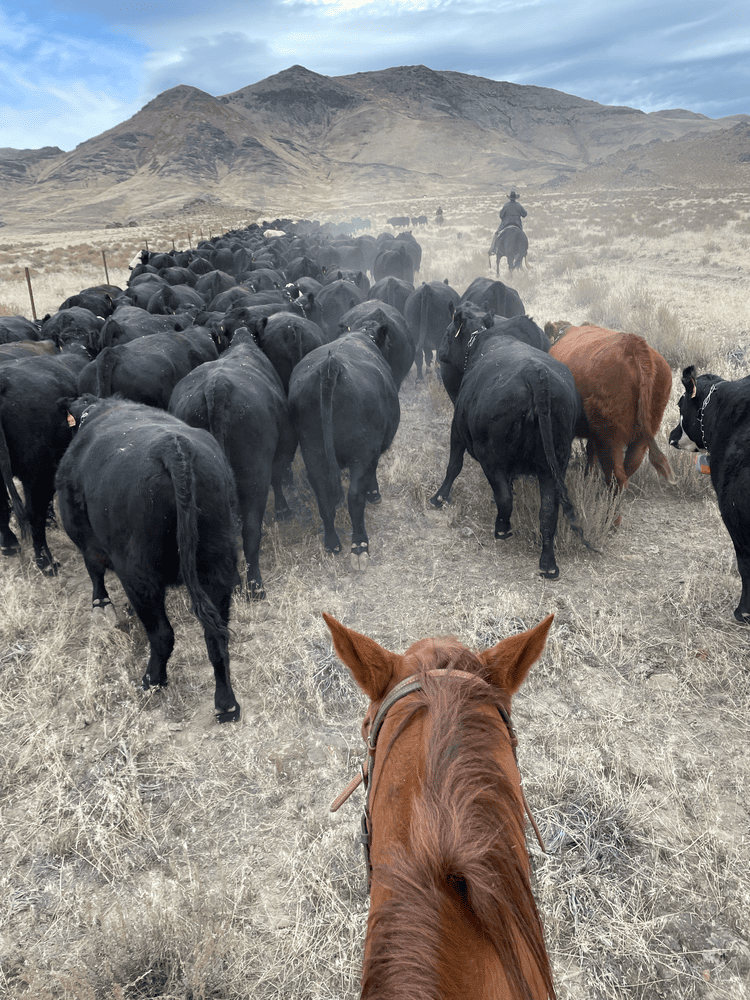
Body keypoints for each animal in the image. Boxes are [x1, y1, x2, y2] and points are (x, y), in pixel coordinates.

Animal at [56, 397, 241, 721]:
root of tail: (174, 448)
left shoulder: (85, 537)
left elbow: (94, 569)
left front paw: (101, 604)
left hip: (138, 574)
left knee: (162, 634)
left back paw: (152, 680)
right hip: (218, 566)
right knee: (216, 636)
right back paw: (226, 703)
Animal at [169, 329, 297, 599]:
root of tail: (216, 386)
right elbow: (278, 480)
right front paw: (283, 509)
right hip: (255, 475)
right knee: (250, 532)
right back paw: (256, 586)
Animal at [288, 327, 400, 570]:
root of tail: (331, 365)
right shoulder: (371, 452)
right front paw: (374, 494)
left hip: (313, 454)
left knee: (323, 498)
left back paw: (332, 543)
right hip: (361, 454)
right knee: (354, 497)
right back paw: (359, 546)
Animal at [430, 323, 585, 579]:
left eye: (448, 332)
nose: (440, 353)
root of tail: (535, 374)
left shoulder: (457, 429)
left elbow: (454, 465)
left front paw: (439, 497)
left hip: (491, 457)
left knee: (505, 498)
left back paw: (502, 529)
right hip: (553, 466)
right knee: (548, 512)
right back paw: (548, 563)